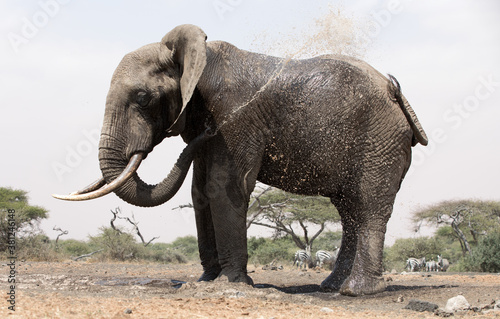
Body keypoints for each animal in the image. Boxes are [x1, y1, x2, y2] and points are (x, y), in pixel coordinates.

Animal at [53, 23, 426, 298]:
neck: (196, 59)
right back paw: (331, 287)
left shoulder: (234, 117)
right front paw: (206, 282)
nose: (206, 132)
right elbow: (200, 193)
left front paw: (232, 283)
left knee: (368, 205)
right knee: (349, 210)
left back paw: (357, 291)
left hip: (379, 140)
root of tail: (396, 92)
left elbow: (224, 188)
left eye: (142, 98)